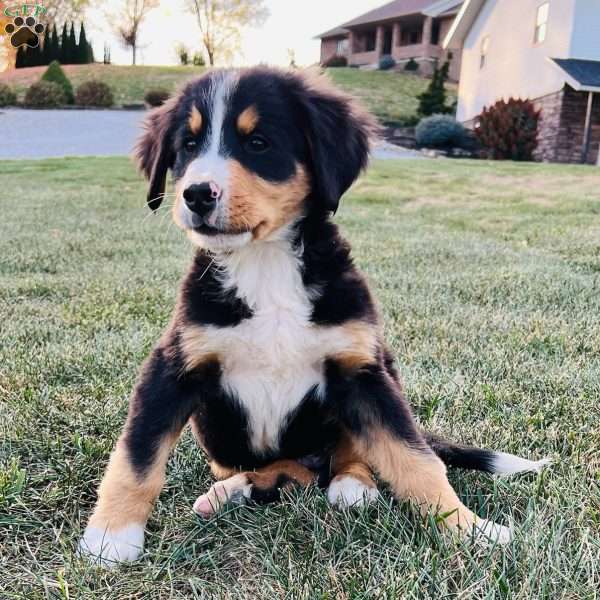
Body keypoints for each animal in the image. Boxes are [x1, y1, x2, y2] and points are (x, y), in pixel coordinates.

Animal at [78, 68, 548, 564]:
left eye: (258, 143)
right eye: (187, 146)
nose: (197, 194)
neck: (265, 264)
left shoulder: (360, 371)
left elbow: (415, 457)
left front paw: (471, 528)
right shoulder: (173, 365)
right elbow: (137, 455)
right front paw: (112, 536)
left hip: (381, 364)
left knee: (347, 452)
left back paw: (352, 482)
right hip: (222, 439)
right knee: (280, 471)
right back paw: (230, 491)